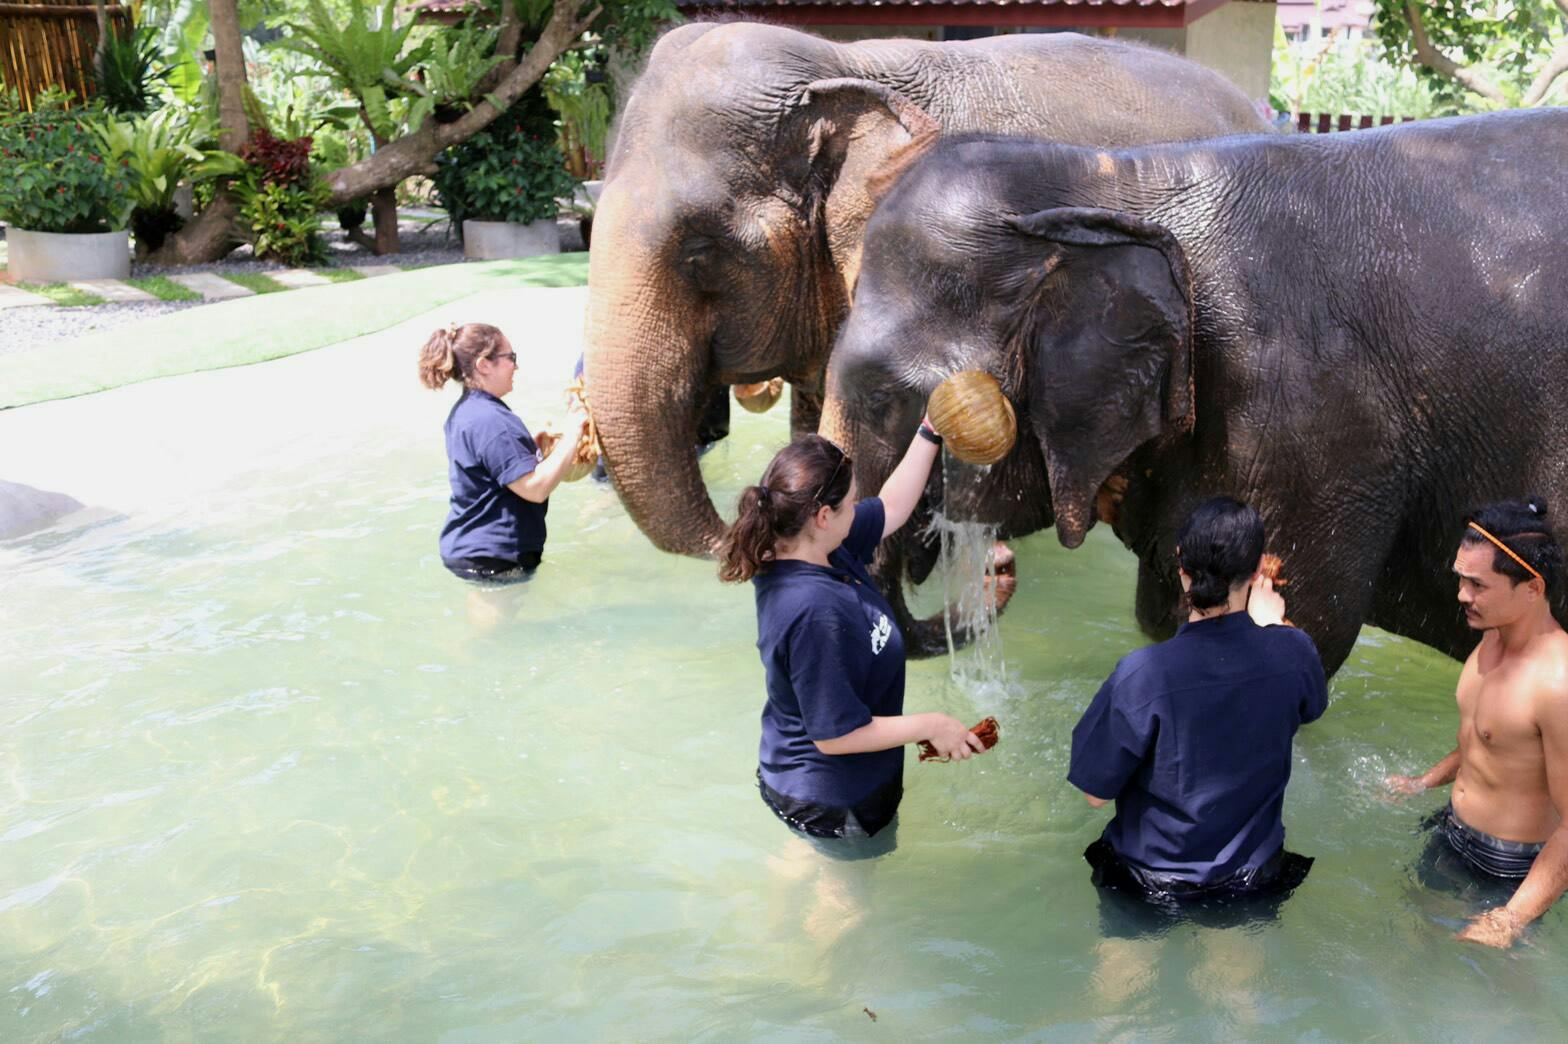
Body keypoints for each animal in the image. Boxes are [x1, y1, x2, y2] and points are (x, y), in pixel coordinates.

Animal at [821, 109, 1568, 670]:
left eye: (884, 399)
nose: (997, 567)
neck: (1114, 176)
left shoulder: (1307, 434)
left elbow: (1299, 629)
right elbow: (1166, 616)